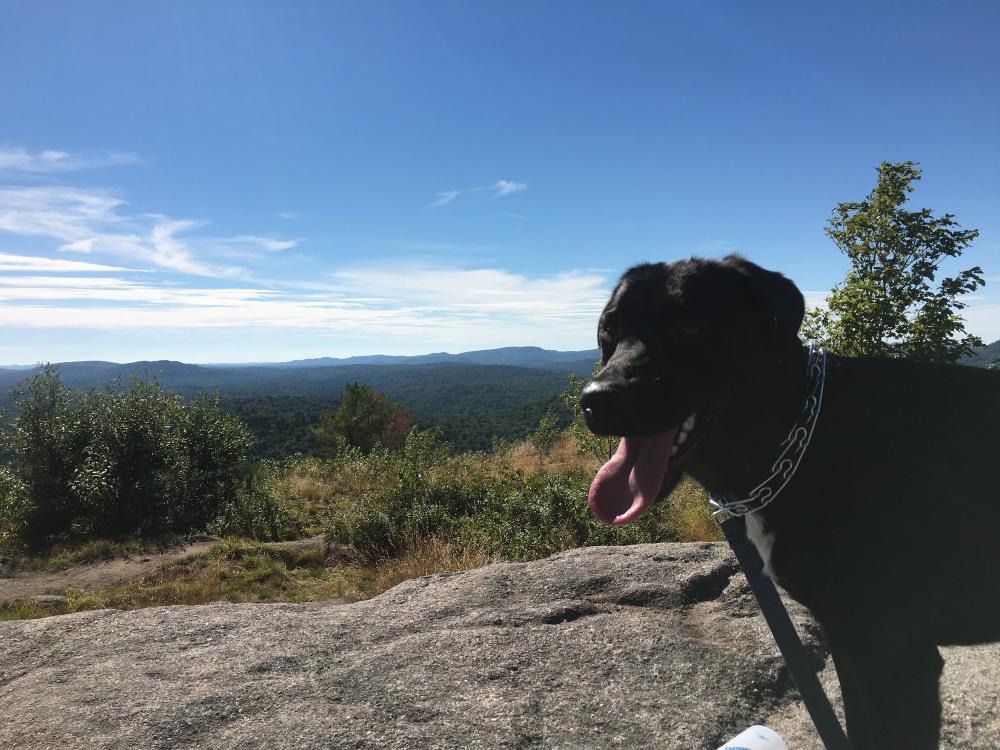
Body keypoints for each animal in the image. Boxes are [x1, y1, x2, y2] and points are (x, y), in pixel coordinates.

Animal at [584, 256, 996, 748]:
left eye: (690, 327)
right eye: (609, 332)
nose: (597, 401)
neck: (798, 440)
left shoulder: (895, 652)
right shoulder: (851, 642)